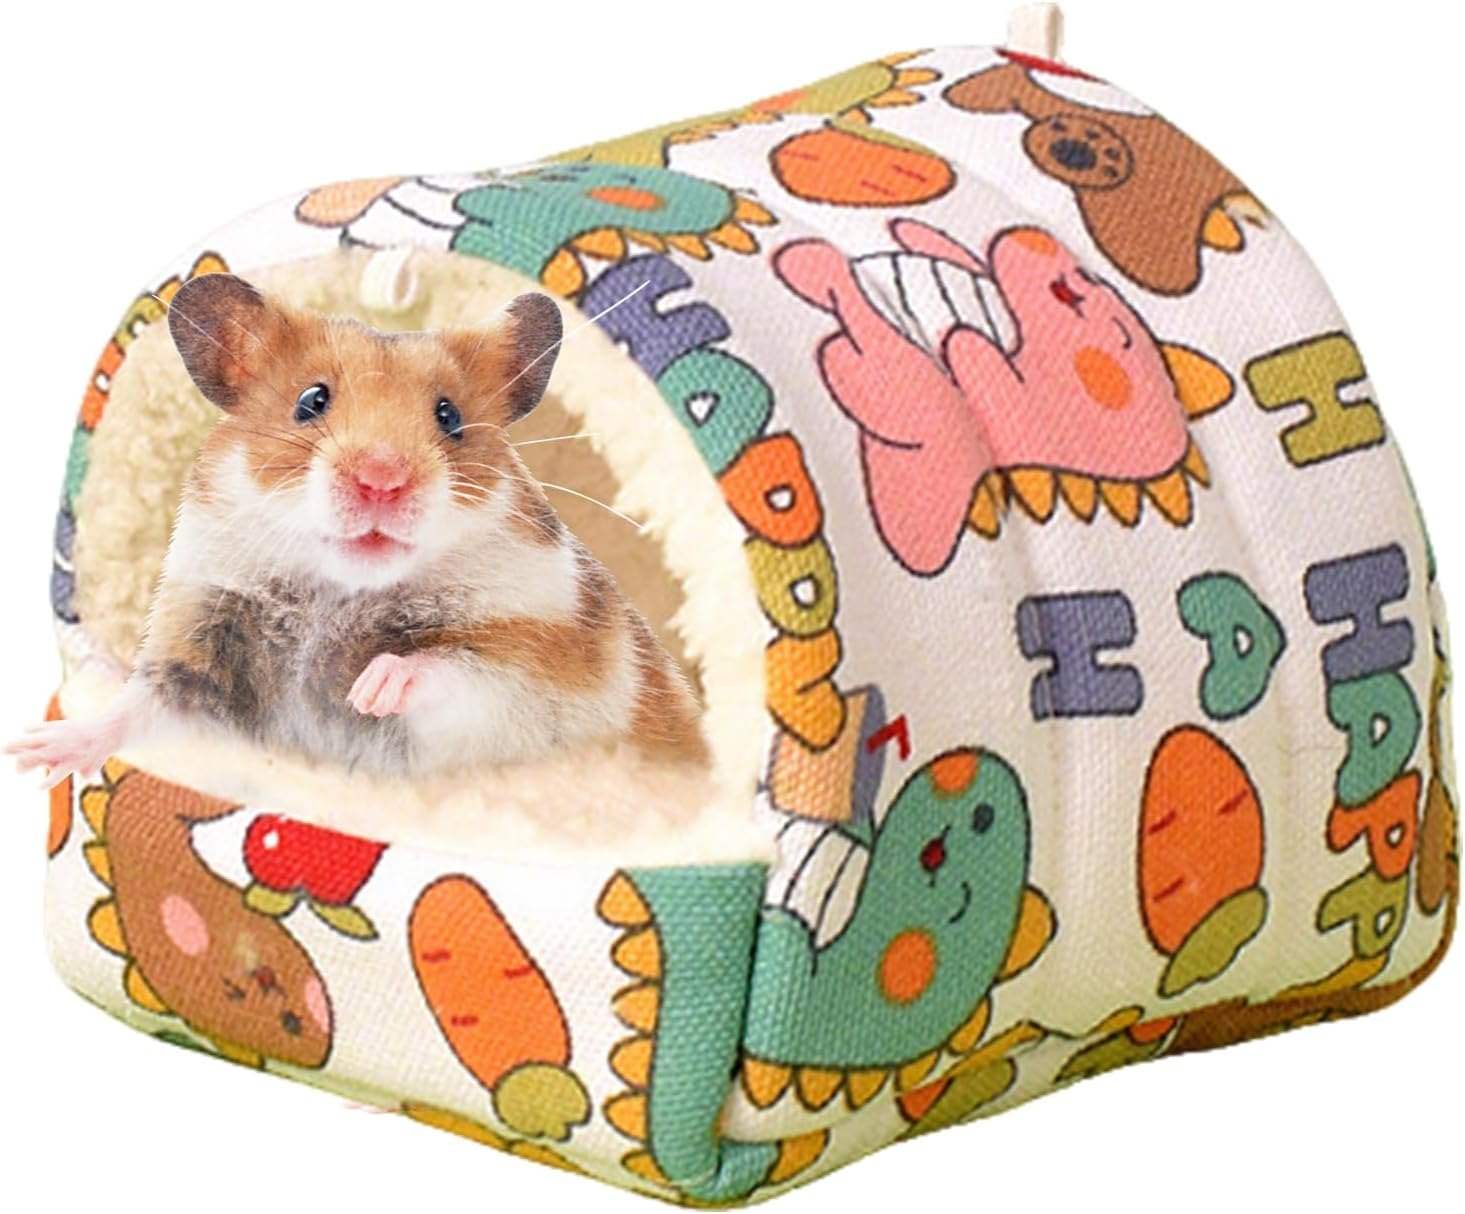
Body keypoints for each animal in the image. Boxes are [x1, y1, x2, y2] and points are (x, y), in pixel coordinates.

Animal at [12, 274, 708, 783]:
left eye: (450, 416)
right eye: (310, 401)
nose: (381, 479)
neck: (338, 593)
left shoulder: (539, 679)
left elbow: (452, 670)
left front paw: (371, 687)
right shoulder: (199, 661)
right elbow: (137, 709)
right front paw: (34, 750)